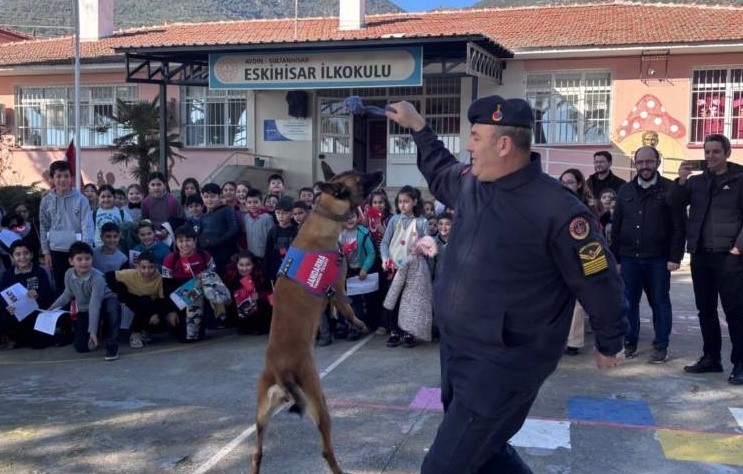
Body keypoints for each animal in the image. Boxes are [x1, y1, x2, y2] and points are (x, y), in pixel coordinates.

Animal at [253, 164, 386, 474]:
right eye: (361, 178)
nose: (379, 173)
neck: (324, 216)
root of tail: (281, 371)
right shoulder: (337, 289)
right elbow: (348, 308)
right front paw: (358, 324)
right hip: (319, 400)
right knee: (326, 450)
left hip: (262, 414)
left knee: (257, 453)